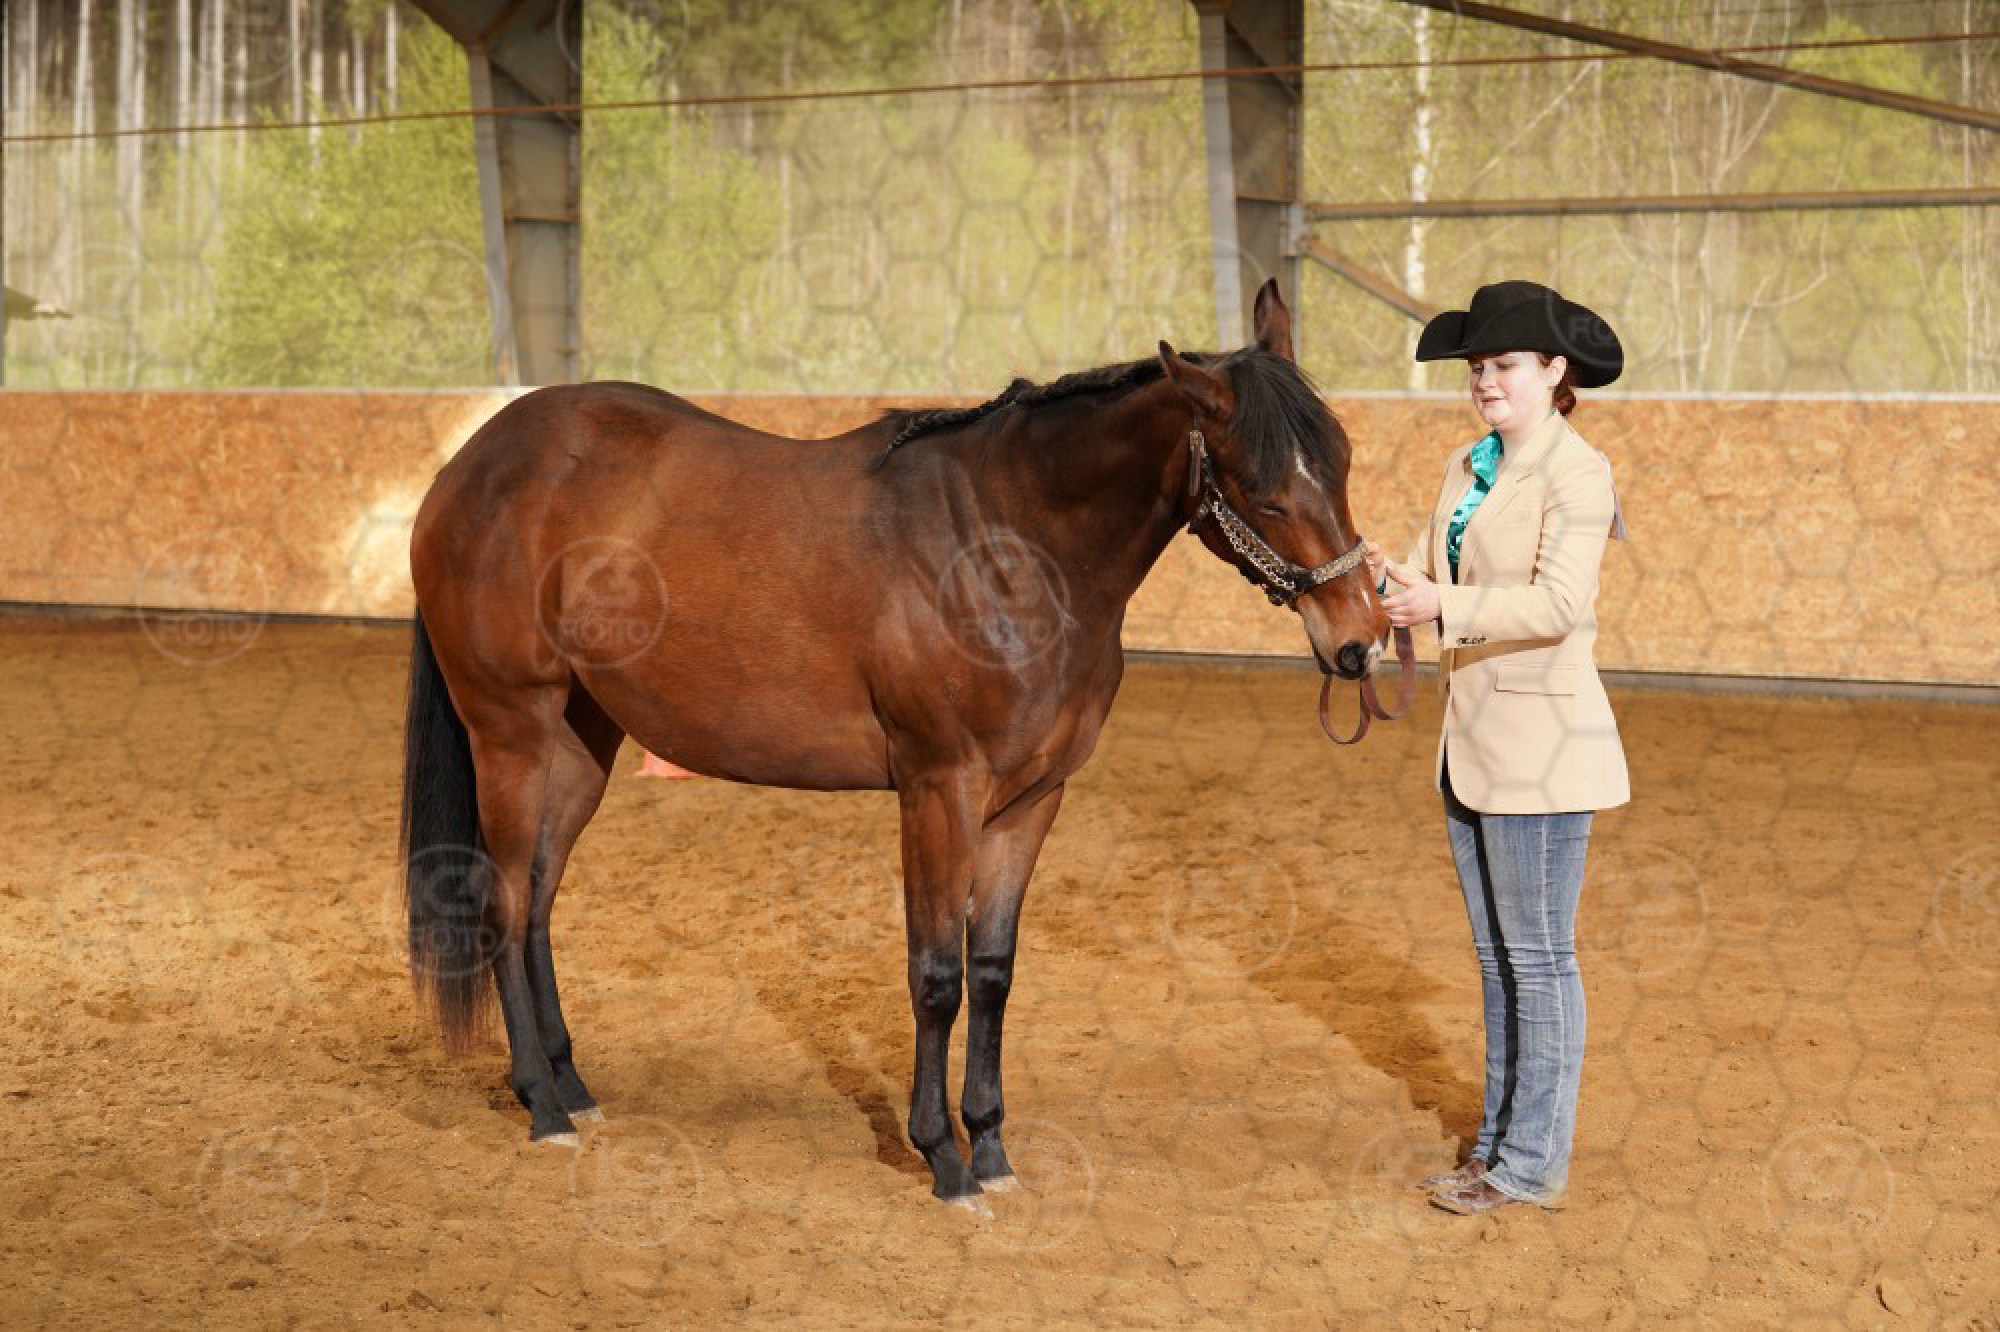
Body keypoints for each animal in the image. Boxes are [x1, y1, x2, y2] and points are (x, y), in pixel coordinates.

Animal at [398, 280, 1391, 1205]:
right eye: (1263, 490)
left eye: (1341, 462)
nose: (1360, 641)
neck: (1008, 547)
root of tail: (472, 465)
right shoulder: (938, 789)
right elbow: (936, 975)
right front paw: (943, 1157)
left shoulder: (1030, 801)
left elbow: (991, 971)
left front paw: (990, 1146)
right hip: (512, 731)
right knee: (504, 900)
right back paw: (542, 1104)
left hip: (581, 741)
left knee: (539, 899)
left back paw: (572, 1083)